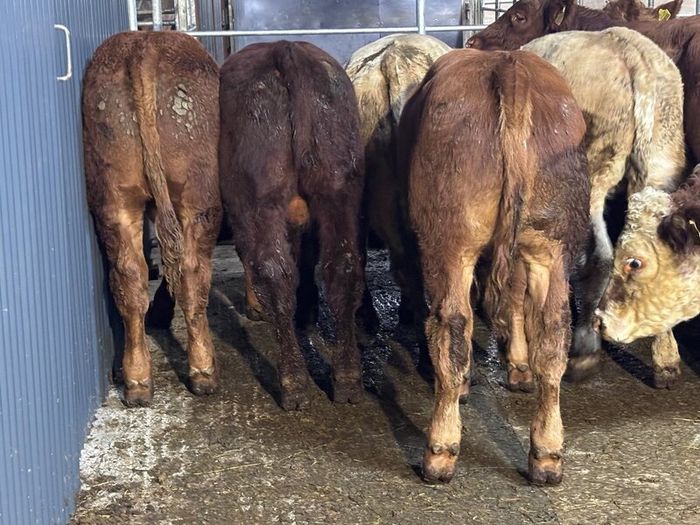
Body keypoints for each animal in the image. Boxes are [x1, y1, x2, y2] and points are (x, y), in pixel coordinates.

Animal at [82, 31, 222, 407]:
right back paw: (203, 371)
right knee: (192, 271)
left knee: (130, 276)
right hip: (197, 197)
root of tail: (144, 45)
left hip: (114, 194)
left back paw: (136, 380)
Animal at [218, 41, 365, 410]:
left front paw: (255, 306)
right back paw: (347, 378)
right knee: (343, 266)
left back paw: (293, 383)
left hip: (260, 196)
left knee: (274, 271)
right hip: (337, 185)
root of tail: (284, 48)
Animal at [400, 48, 590, 484]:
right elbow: (516, 302)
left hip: (450, 243)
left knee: (453, 324)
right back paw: (546, 455)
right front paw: (518, 365)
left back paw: (440, 449)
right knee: (553, 331)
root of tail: (507, 63)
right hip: (551, 243)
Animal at [522, 28, 686, 383]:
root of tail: (631, 54)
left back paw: (583, 350)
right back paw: (666, 359)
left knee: (599, 258)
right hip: (661, 164)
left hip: (592, 171)